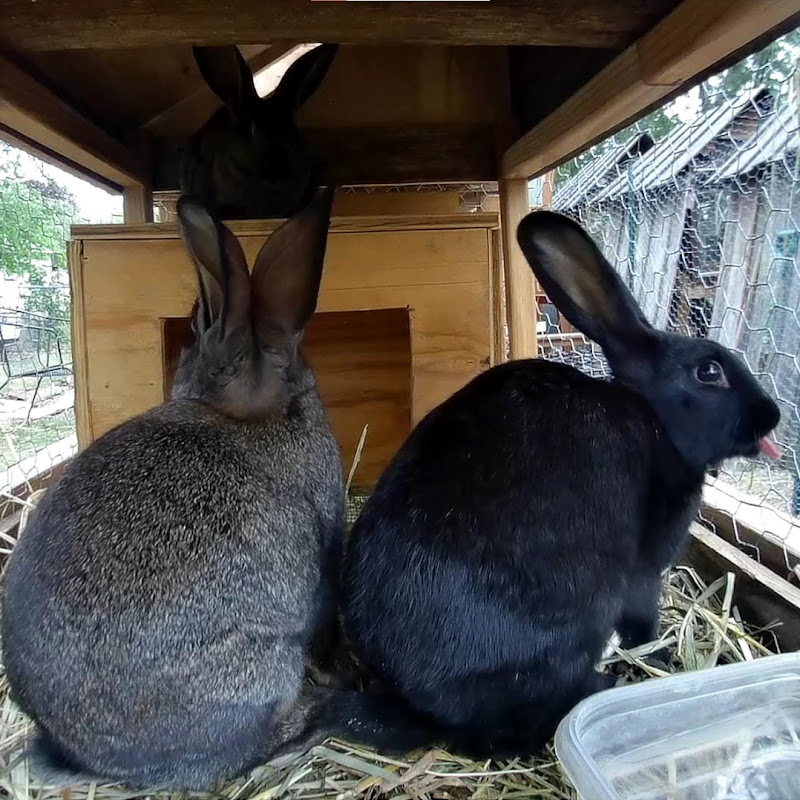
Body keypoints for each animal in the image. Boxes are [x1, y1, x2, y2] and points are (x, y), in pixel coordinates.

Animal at [339, 210, 782, 760]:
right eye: (709, 371)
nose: (773, 415)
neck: (655, 418)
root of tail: (416, 698)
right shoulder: (643, 571)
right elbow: (643, 620)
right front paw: (657, 659)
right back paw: (601, 686)